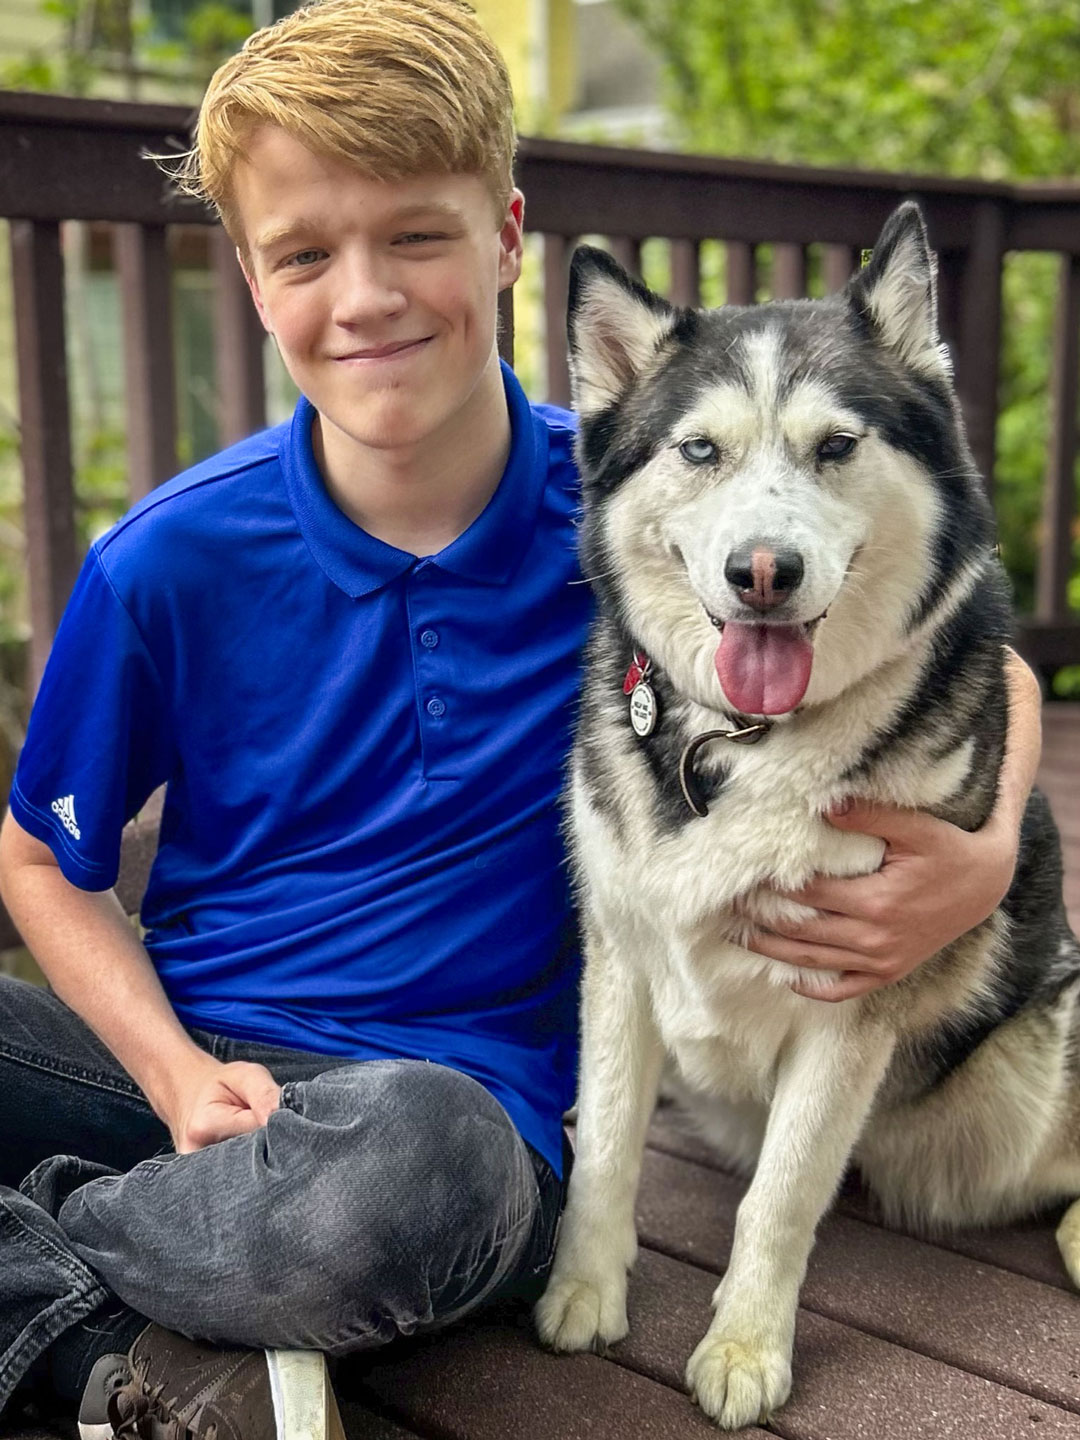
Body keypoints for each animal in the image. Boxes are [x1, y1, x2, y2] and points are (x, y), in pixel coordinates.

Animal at [538, 205, 1080, 1428]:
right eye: (700, 451)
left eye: (837, 446)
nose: (763, 572)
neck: (739, 740)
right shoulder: (620, 962)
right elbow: (606, 1148)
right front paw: (583, 1291)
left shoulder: (848, 1006)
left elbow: (779, 1199)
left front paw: (744, 1349)